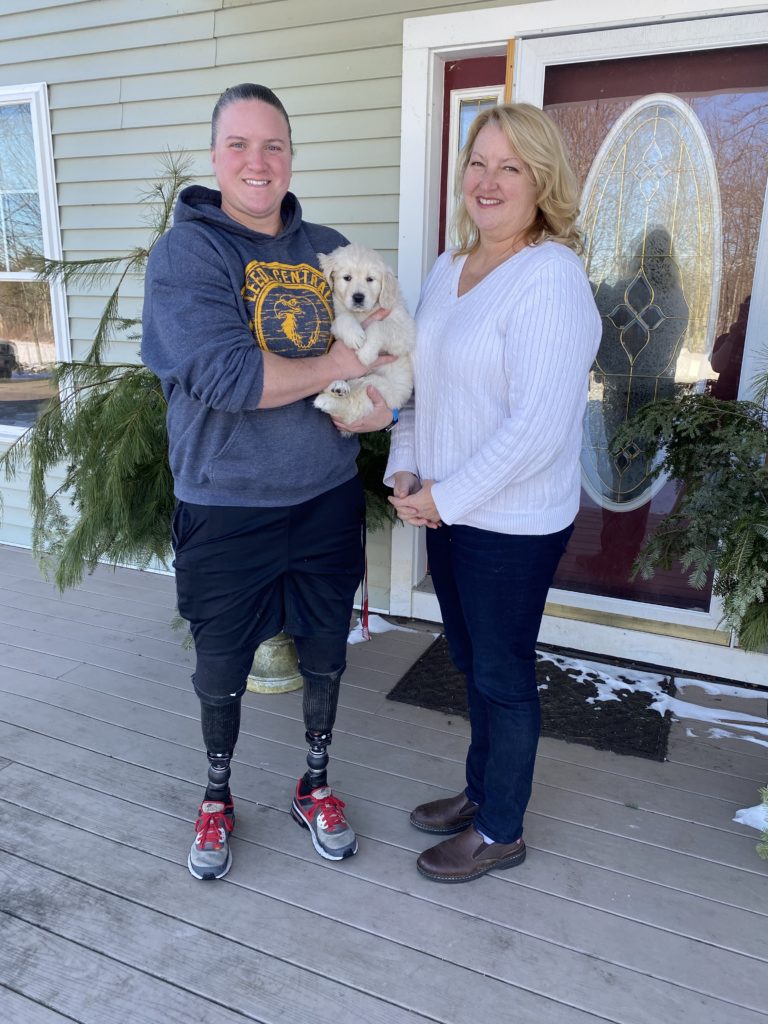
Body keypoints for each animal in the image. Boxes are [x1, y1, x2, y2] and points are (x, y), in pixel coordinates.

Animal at [313, 241, 415, 430]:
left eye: (370, 279)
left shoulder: (406, 330)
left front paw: (366, 353)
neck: (362, 314)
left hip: (377, 386)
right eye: (347, 278)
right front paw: (355, 336)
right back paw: (336, 388)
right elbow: (344, 318)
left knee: (353, 404)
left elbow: (379, 326)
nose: (358, 297)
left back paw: (332, 395)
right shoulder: (338, 316)